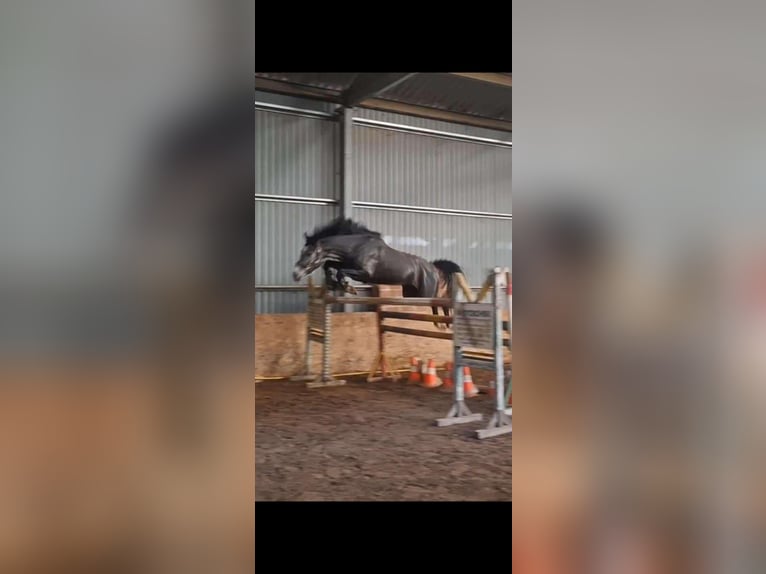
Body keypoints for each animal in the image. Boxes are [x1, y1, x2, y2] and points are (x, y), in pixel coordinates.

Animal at [292, 218, 464, 328]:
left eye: (308, 253)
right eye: (301, 252)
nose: (295, 274)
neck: (356, 247)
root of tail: (434, 269)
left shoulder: (365, 274)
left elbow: (341, 271)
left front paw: (349, 287)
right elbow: (329, 265)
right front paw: (334, 283)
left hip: (425, 295)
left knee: (438, 305)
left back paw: (442, 324)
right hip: (412, 294)